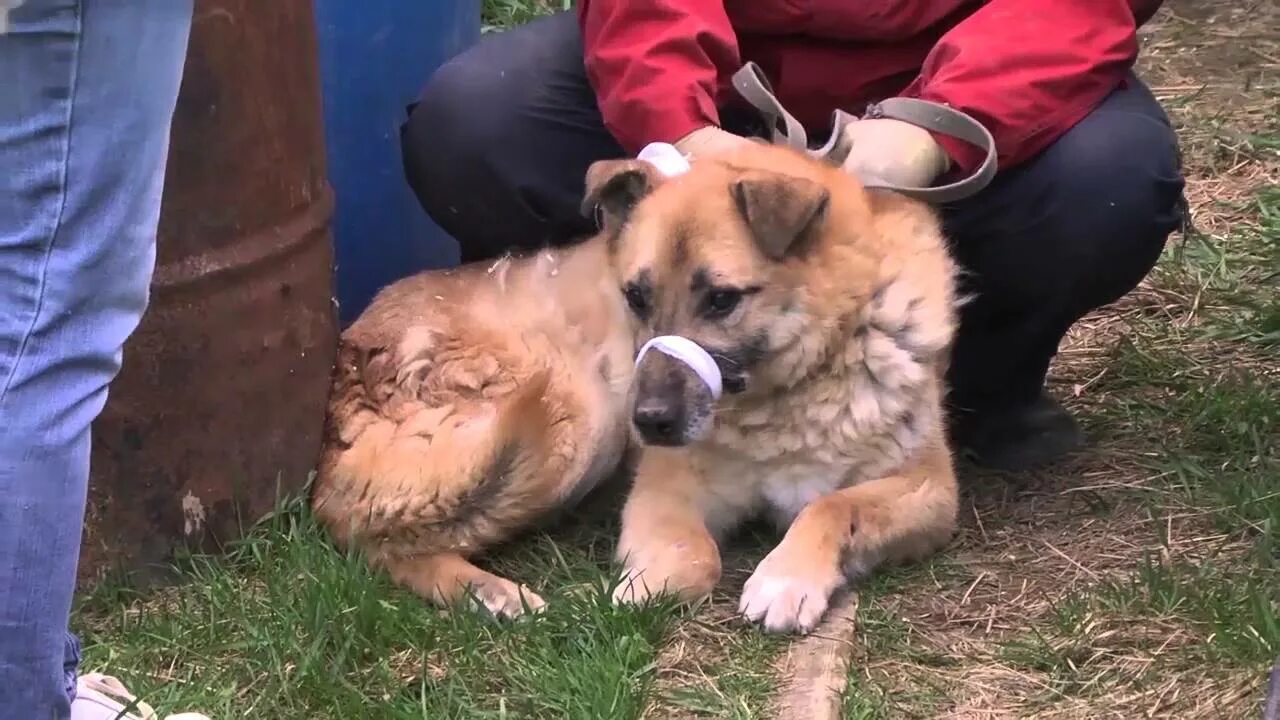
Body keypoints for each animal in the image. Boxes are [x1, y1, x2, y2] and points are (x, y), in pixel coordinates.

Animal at [593, 139, 962, 627]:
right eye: (636, 297)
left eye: (722, 299)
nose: (650, 422)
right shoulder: (663, 485)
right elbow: (698, 554)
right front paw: (649, 582)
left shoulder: (928, 489)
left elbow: (833, 504)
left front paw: (787, 577)